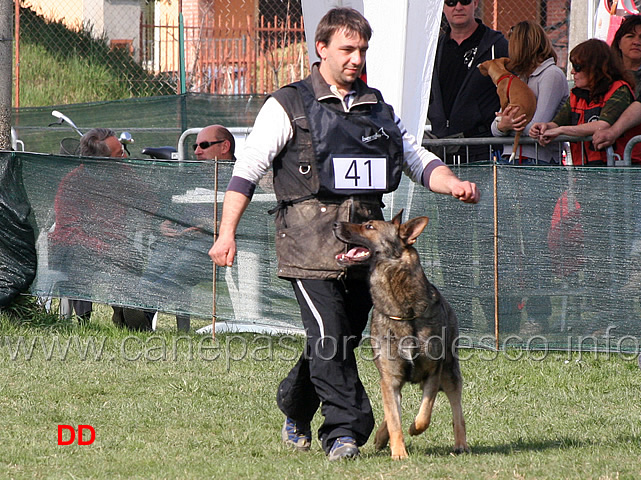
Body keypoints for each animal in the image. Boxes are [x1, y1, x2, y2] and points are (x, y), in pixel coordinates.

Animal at [332, 212, 468, 460]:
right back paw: (381, 437)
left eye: (369, 226)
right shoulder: (390, 378)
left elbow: (424, 415)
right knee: (393, 410)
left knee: (457, 411)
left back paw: (461, 444)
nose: (335, 223)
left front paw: (414, 428)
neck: (404, 311)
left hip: (450, 373)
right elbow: (394, 420)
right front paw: (399, 453)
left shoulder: (433, 374)